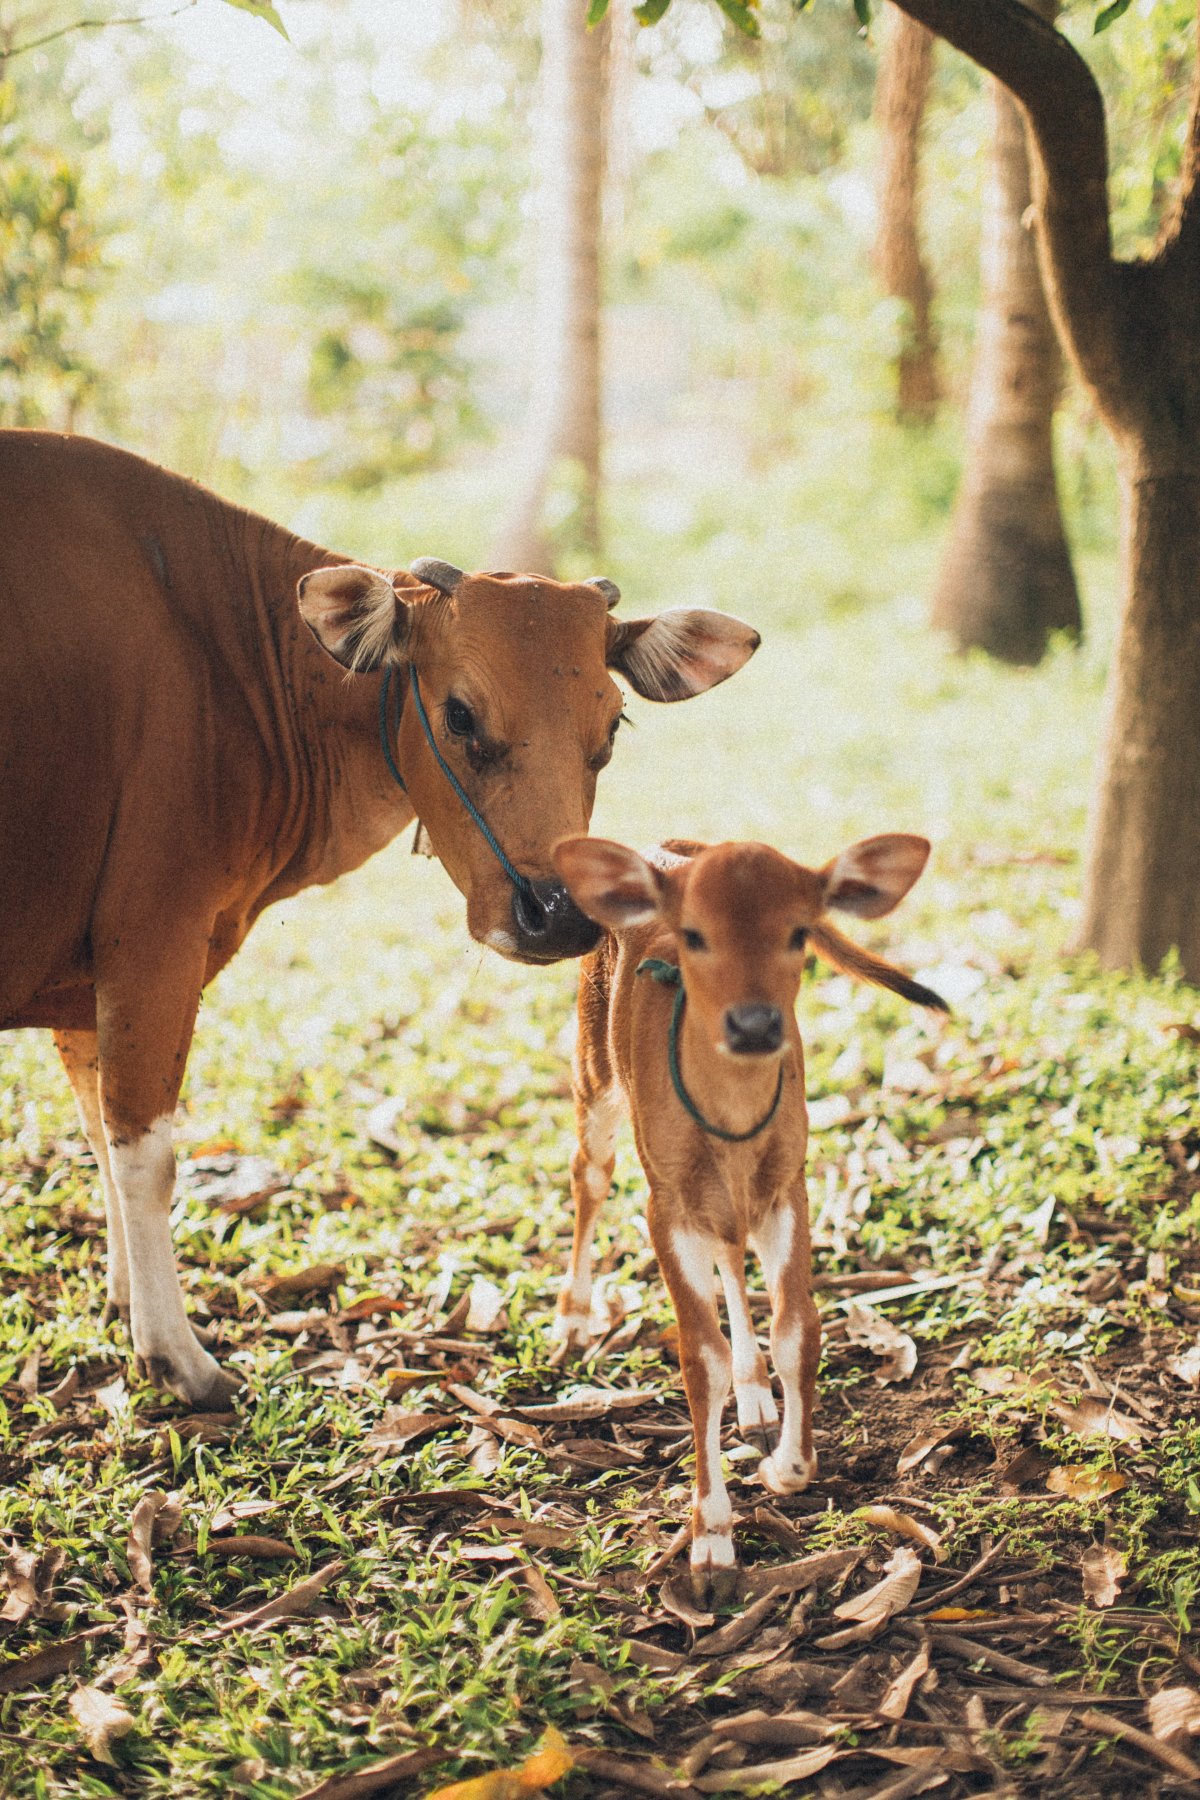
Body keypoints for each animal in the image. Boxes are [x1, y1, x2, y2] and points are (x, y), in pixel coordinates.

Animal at [0, 432, 759, 1404]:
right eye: (461, 714)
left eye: (613, 726)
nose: (556, 916)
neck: (233, 664)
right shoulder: (152, 940)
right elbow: (144, 1149)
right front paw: (175, 1353)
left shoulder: (88, 975)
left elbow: (98, 1130)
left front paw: (127, 1299)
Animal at [554, 835, 949, 1598]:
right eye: (693, 935)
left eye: (798, 932)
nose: (755, 1025)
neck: (733, 1123)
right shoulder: (667, 1204)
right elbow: (696, 1357)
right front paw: (711, 1540)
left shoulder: (788, 1187)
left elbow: (799, 1329)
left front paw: (786, 1466)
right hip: (594, 1074)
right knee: (589, 1176)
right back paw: (574, 1317)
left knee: (731, 1253)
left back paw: (758, 1396)